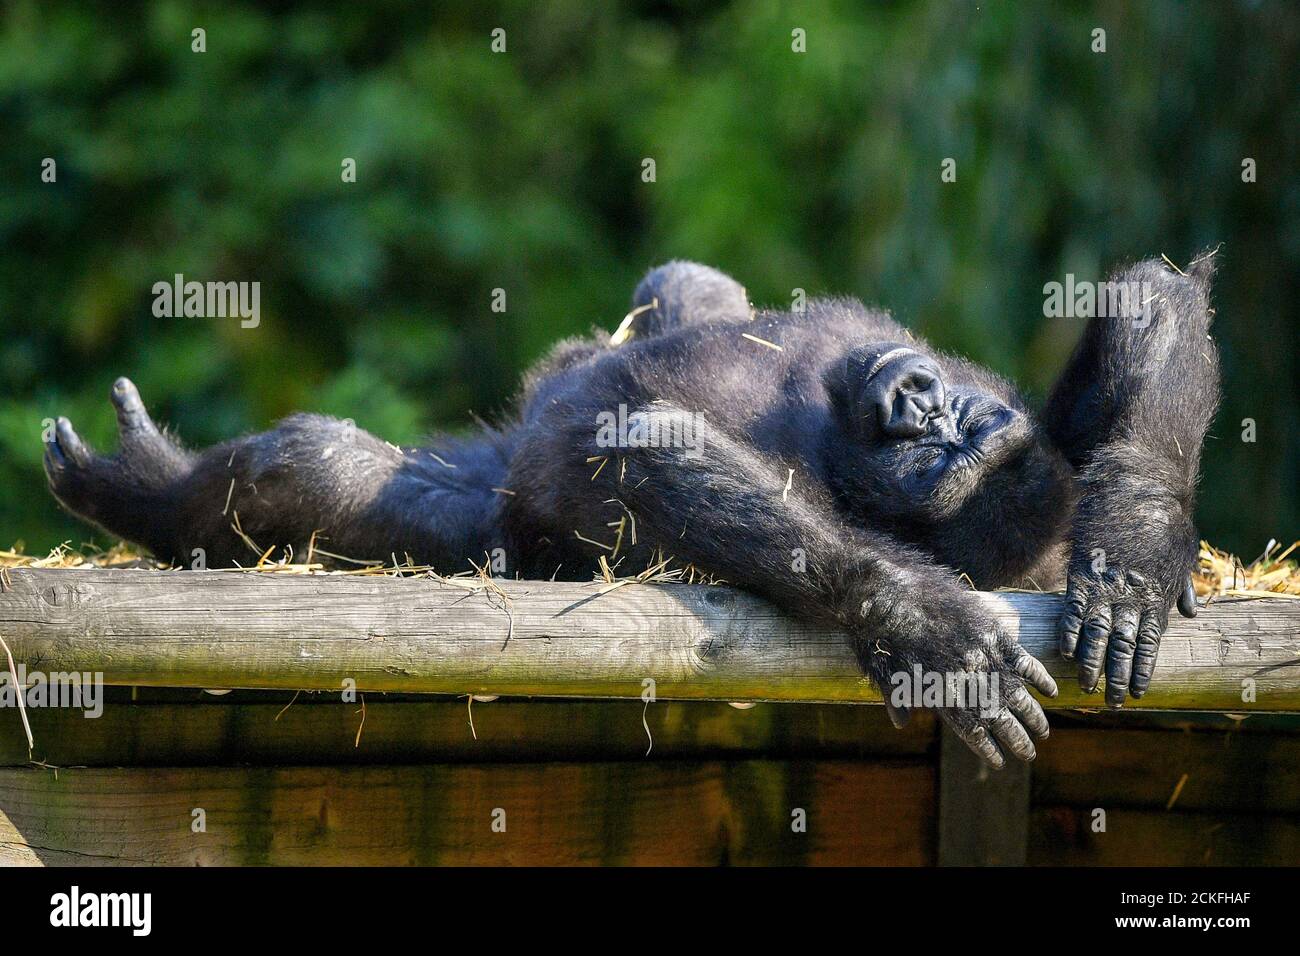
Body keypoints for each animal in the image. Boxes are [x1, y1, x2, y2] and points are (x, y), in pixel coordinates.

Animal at [43, 254, 1219, 767]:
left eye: (943, 448)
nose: (916, 401)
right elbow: (1147, 296)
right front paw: (1139, 542)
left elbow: (638, 452)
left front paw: (913, 619)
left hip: (483, 530)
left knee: (322, 471)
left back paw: (143, 491)